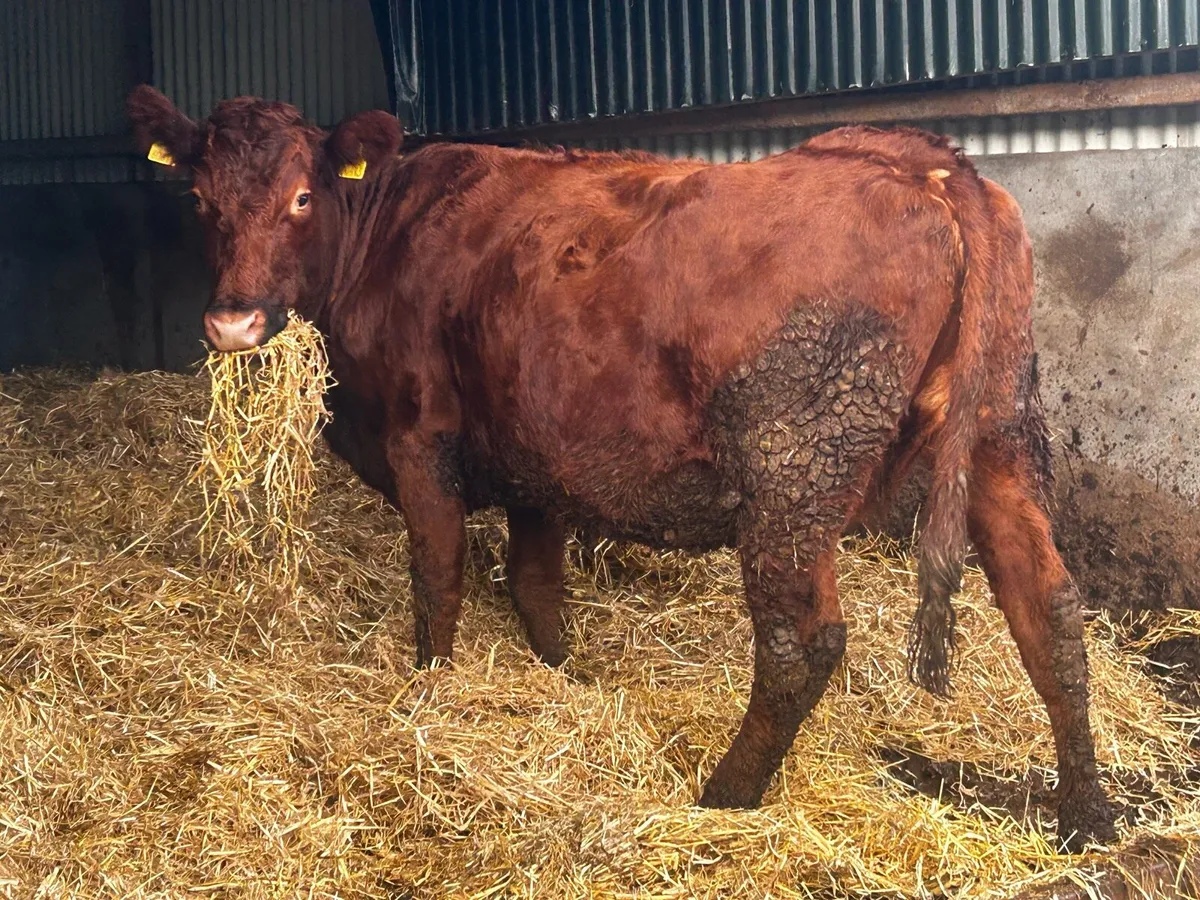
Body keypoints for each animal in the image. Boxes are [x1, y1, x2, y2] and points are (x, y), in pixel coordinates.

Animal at [127, 84, 1116, 850]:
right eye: (200, 199)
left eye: (302, 197)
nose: (232, 322)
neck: (387, 232)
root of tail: (926, 163)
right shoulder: (535, 457)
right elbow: (533, 583)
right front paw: (564, 679)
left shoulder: (420, 438)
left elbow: (437, 577)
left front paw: (430, 697)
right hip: (999, 436)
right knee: (1050, 607)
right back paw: (1087, 814)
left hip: (792, 468)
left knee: (801, 643)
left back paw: (725, 796)